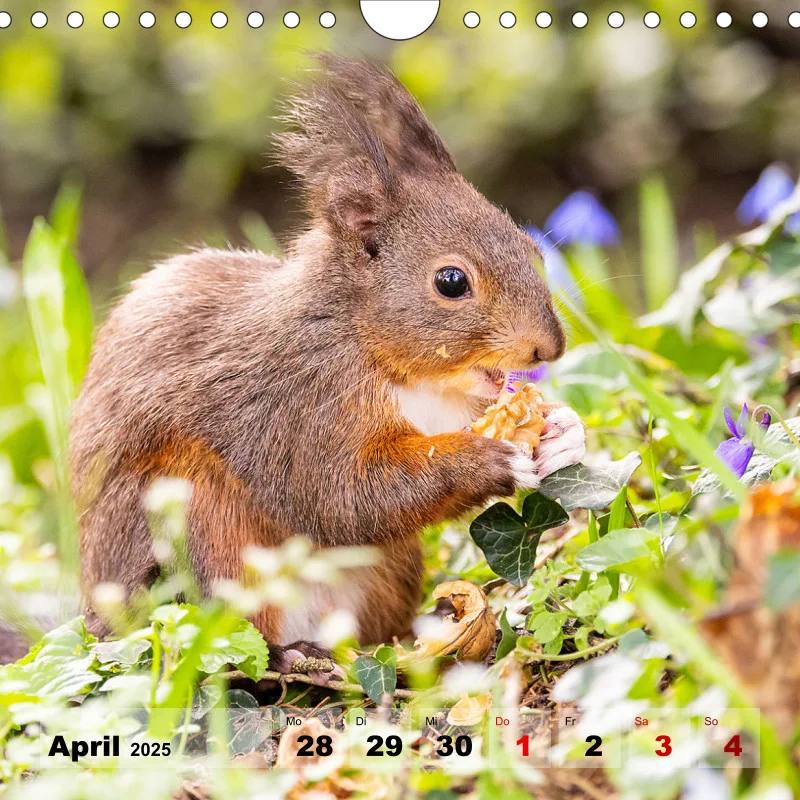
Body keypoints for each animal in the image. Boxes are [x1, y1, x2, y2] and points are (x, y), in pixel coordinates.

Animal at [69, 56, 586, 674]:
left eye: (532, 249)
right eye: (451, 281)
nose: (549, 347)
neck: (389, 363)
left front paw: (563, 433)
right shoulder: (295, 398)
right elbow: (336, 494)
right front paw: (488, 458)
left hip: (388, 570)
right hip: (193, 525)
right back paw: (289, 655)